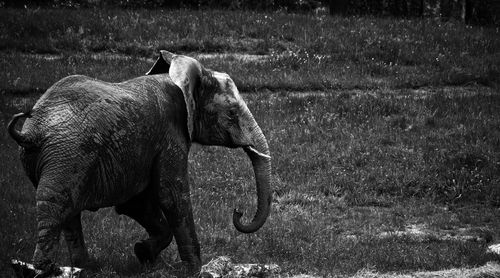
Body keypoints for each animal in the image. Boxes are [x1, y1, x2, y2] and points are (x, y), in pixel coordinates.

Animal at [7, 51, 272, 276]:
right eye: (232, 114)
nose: (238, 211)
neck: (181, 76)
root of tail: (31, 130)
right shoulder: (170, 133)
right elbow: (170, 195)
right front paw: (195, 270)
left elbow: (136, 203)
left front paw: (143, 254)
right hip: (67, 156)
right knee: (56, 206)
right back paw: (42, 270)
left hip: (52, 158)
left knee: (67, 212)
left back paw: (84, 268)